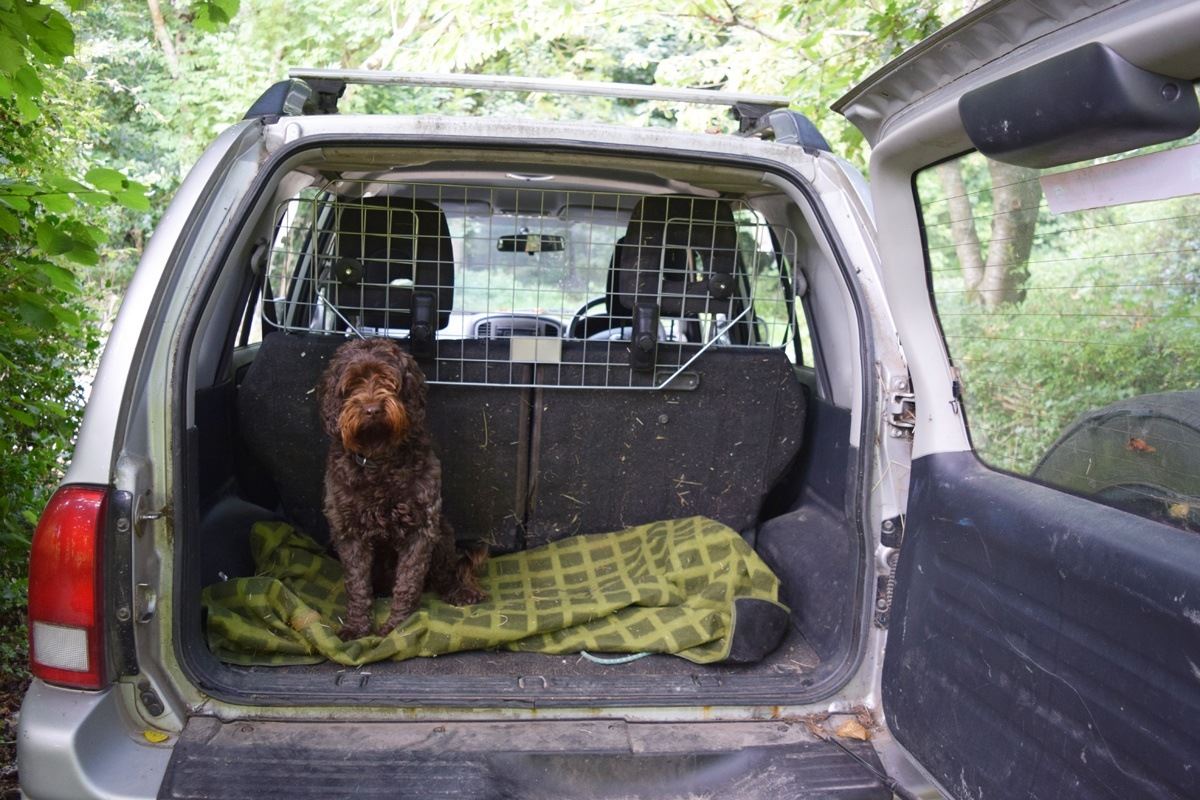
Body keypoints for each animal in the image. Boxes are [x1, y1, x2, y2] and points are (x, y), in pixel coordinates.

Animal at [321, 338, 489, 638]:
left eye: (388, 379)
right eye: (352, 383)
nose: (372, 409)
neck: (378, 459)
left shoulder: (421, 528)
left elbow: (408, 582)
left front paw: (400, 627)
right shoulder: (349, 532)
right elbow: (357, 584)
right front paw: (356, 627)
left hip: (443, 532)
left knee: (445, 573)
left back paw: (460, 591)